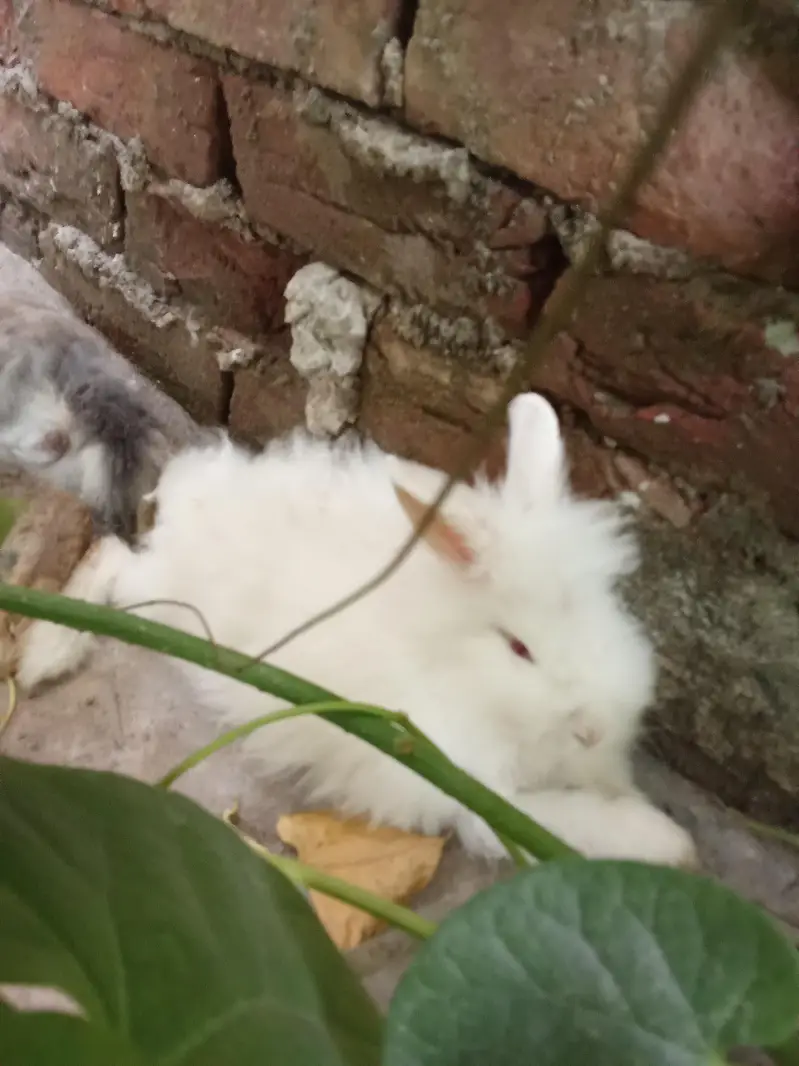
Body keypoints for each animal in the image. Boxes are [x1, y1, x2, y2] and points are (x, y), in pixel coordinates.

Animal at [15, 392, 697, 866]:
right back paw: (46, 654)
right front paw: (667, 840)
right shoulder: (468, 785)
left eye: (609, 609)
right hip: (168, 605)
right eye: (520, 648)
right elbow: (551, 819)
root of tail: (194, 492)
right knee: (110, 559)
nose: (594, 727)